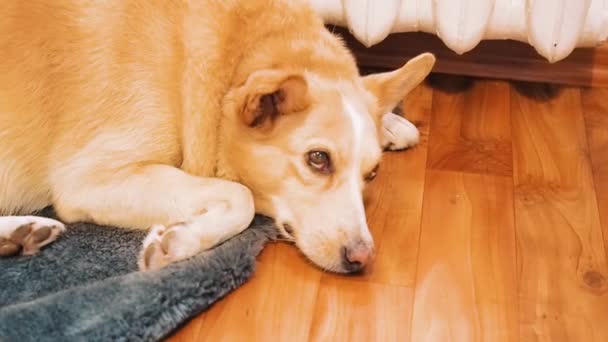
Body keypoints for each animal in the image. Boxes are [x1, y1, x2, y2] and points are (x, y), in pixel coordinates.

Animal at [1, 0, 436, 272]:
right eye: (318, 159)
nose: (363, 260)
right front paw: (179, 243)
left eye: (372, 175)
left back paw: (20, 233)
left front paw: (392, 123)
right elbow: (241, 197)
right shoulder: (90, 178)